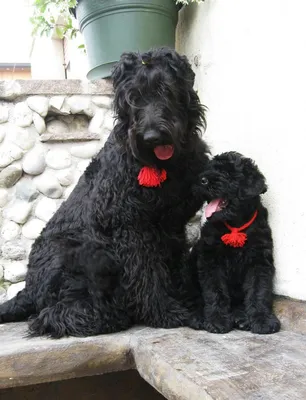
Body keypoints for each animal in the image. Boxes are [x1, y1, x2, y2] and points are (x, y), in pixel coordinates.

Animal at [0, 47, 210, 338]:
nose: (152, 137)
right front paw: (166, 312)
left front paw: (185, 300)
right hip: (88, 255)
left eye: (165, 89)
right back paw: (109, 315)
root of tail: (28, 289)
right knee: (50, 315)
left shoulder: (172, 224)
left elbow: (174, 265)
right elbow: (146, 274)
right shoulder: (130, 228)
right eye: (133, 98)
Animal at [190, 152, 280, 334]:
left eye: (227, 174)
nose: (202, 180)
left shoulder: (259, 261)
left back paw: (241, 318)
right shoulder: (210, 261)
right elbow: (215, 291)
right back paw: (199, 317)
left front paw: (263, 320)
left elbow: (259, 290)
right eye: (209, 168)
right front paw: (217, 320)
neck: (236, 225)